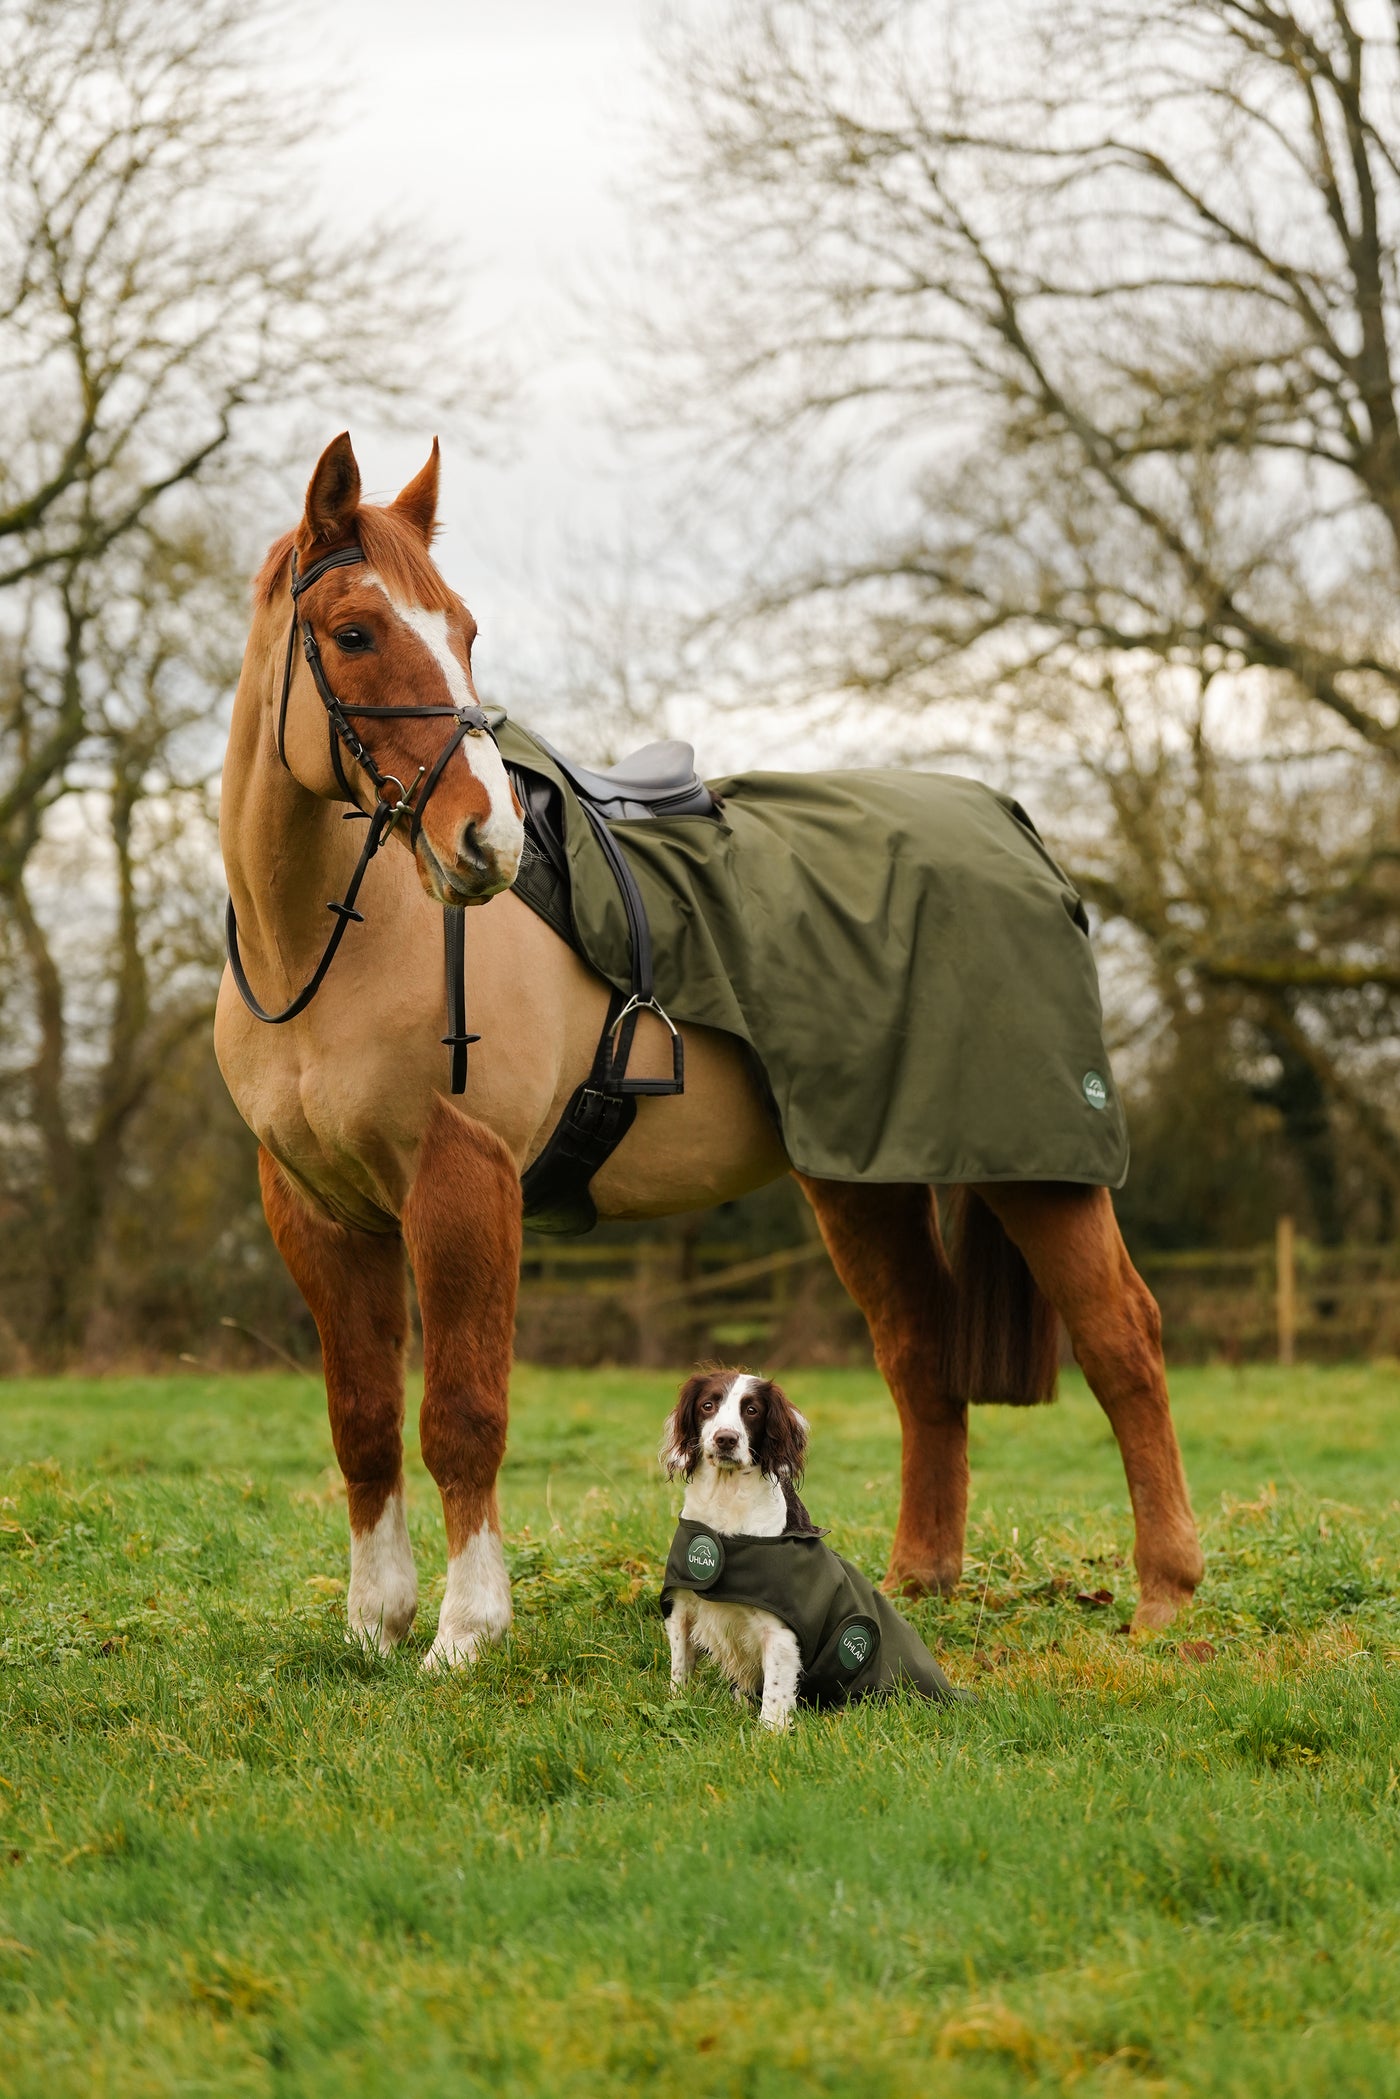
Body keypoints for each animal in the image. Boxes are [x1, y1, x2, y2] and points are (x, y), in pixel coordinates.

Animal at [216, 434, 1208, 1662]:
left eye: (464, 629)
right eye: (354, 632)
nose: (485, 842)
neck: (335, 944)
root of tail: (1015, 831)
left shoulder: (461, 1181)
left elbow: (461, 1412)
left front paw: (464, 1632)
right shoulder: (316, 1208)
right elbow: (361, 1418)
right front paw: (374, 1624)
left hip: (1040, 1169)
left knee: (1124, 1341)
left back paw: (1165, 1594)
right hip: (859, 1178)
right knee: (920, 1351)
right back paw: (918, 1580)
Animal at [659, 1368, 965, 1729]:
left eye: (752, 1410)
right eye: (708, 1405)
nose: (726, 1439)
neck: (726, 1513)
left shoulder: (780, 1633)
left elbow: (775, 1698)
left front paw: (769, 1736)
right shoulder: (682, 1610)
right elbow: (679, 1672)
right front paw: (676, 1707)